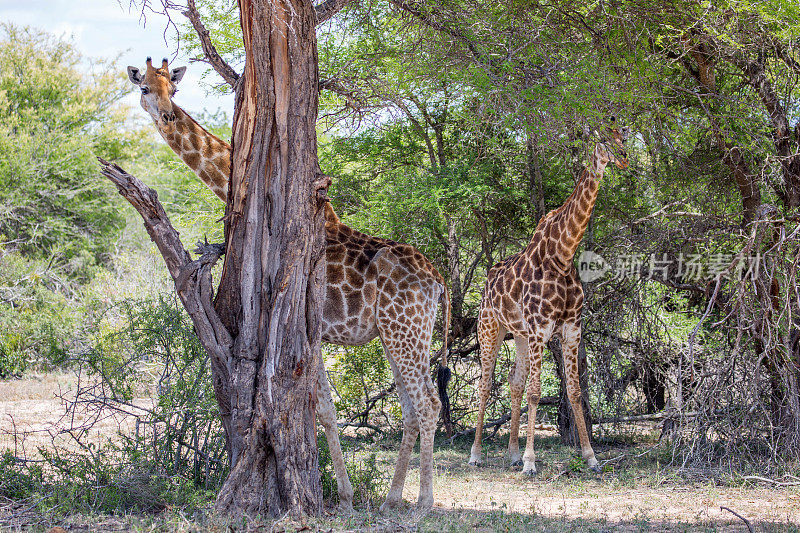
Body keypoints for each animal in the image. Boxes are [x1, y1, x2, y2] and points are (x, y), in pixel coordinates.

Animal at [468, 123, 632, 474]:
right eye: (605, 140)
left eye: (623, 138)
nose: (624, 159)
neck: (564, 254)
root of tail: (486, 284)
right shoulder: (541, 329)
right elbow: (536, 392)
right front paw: (531, 462)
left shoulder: (570, 329)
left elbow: (575, 393)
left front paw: (591, 457)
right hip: (490, 329)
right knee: (486, 385)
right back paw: (477, 454)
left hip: (518, 335)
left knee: (514, 382)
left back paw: (512, 454)